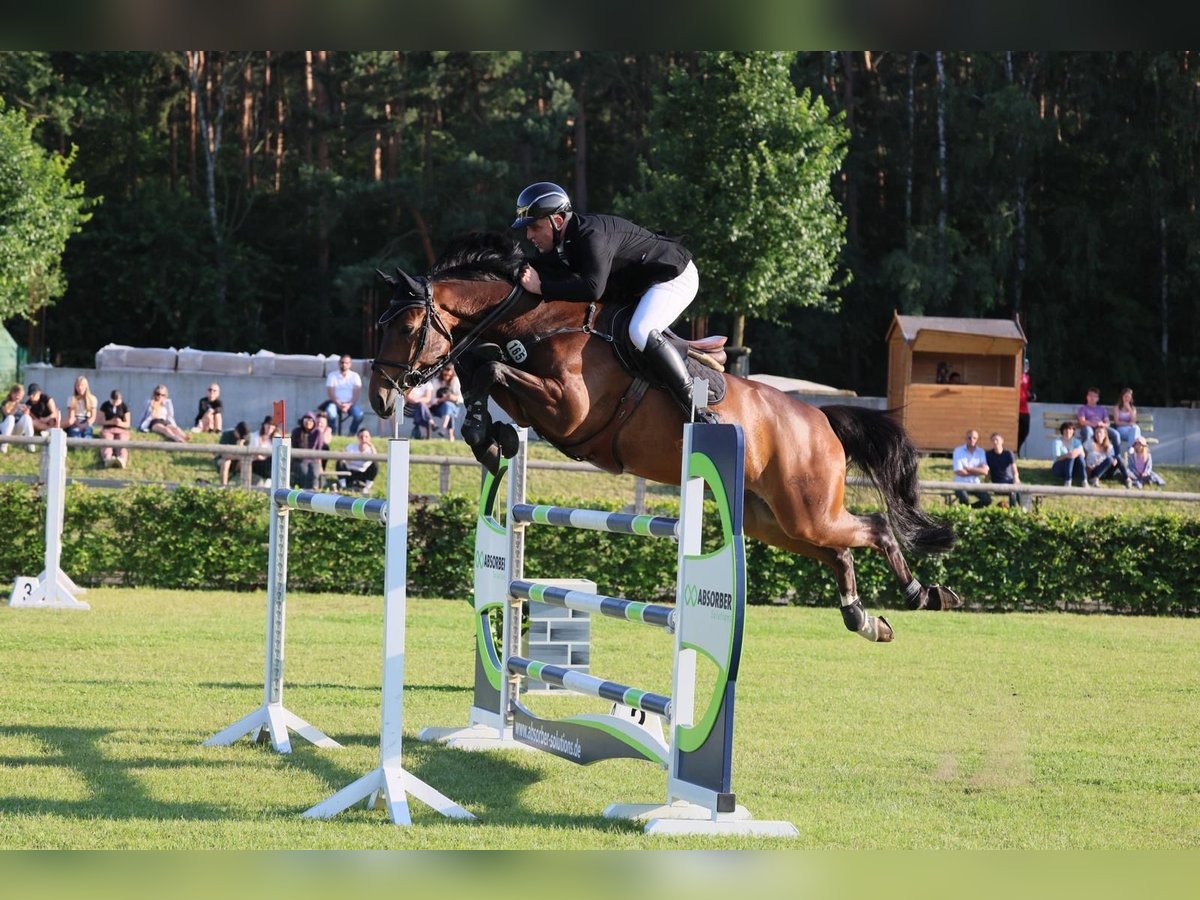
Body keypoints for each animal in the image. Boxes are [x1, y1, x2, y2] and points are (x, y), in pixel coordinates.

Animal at [369, 232, 960, 643]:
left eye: (406, 328)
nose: (379, 399)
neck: (539, 321)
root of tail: (819, 419)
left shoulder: (570, 408)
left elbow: (490, 366)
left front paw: (490, 436)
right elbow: (481, 367)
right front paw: (489, 439)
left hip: (808, 507)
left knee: (876, 527)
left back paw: (922, 594)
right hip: (774, 519)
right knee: (839, 550)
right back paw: (865, 618)